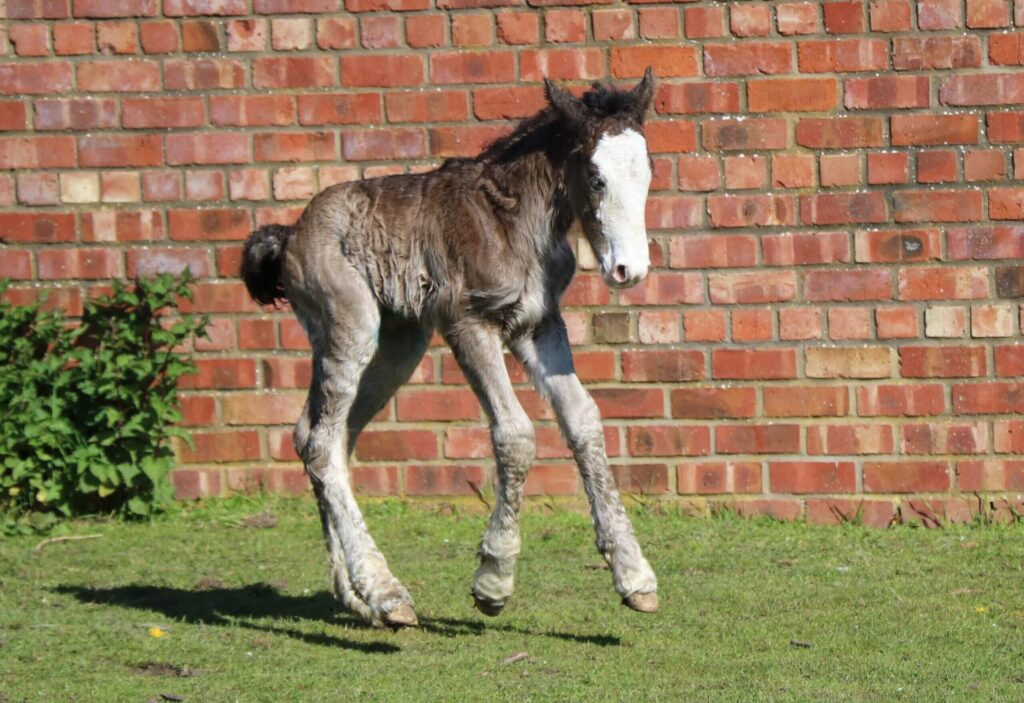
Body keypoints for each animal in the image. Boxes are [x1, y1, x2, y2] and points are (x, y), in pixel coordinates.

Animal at [241, 70, 658, 628]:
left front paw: (634, 578)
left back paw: (356, 597)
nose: (628, 270)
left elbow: (584, 420)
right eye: (596, 179)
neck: (514, 219)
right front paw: (493, 581)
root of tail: (288, 236)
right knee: (321, 441)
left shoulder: (539, 326)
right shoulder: (468, 324)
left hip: (400, 344)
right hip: (349, 325)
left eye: (648, 174)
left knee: (323, 436)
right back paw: (386, 593)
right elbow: (515, 435)